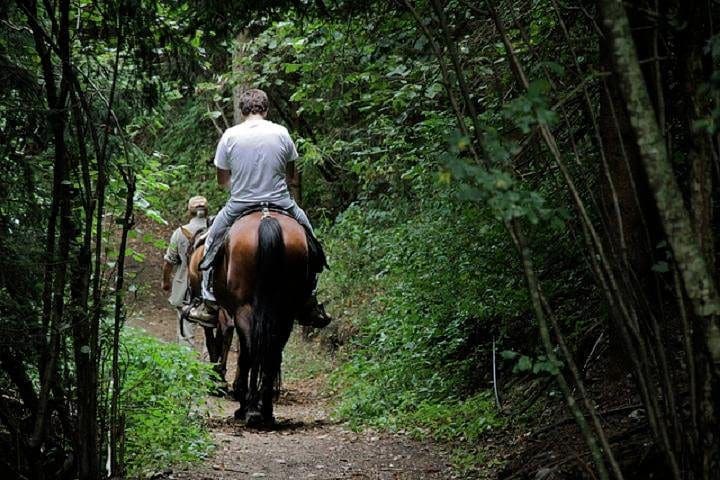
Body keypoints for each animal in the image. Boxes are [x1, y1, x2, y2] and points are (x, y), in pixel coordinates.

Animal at [187, 212, 308, 426]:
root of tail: (267, 219)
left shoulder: (223, 315)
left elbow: (216, 342)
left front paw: (217, 379)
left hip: (244, 309)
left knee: (248, 350)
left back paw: (247, 407)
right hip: (284, 313)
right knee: (271, 352)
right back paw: (264, 409)